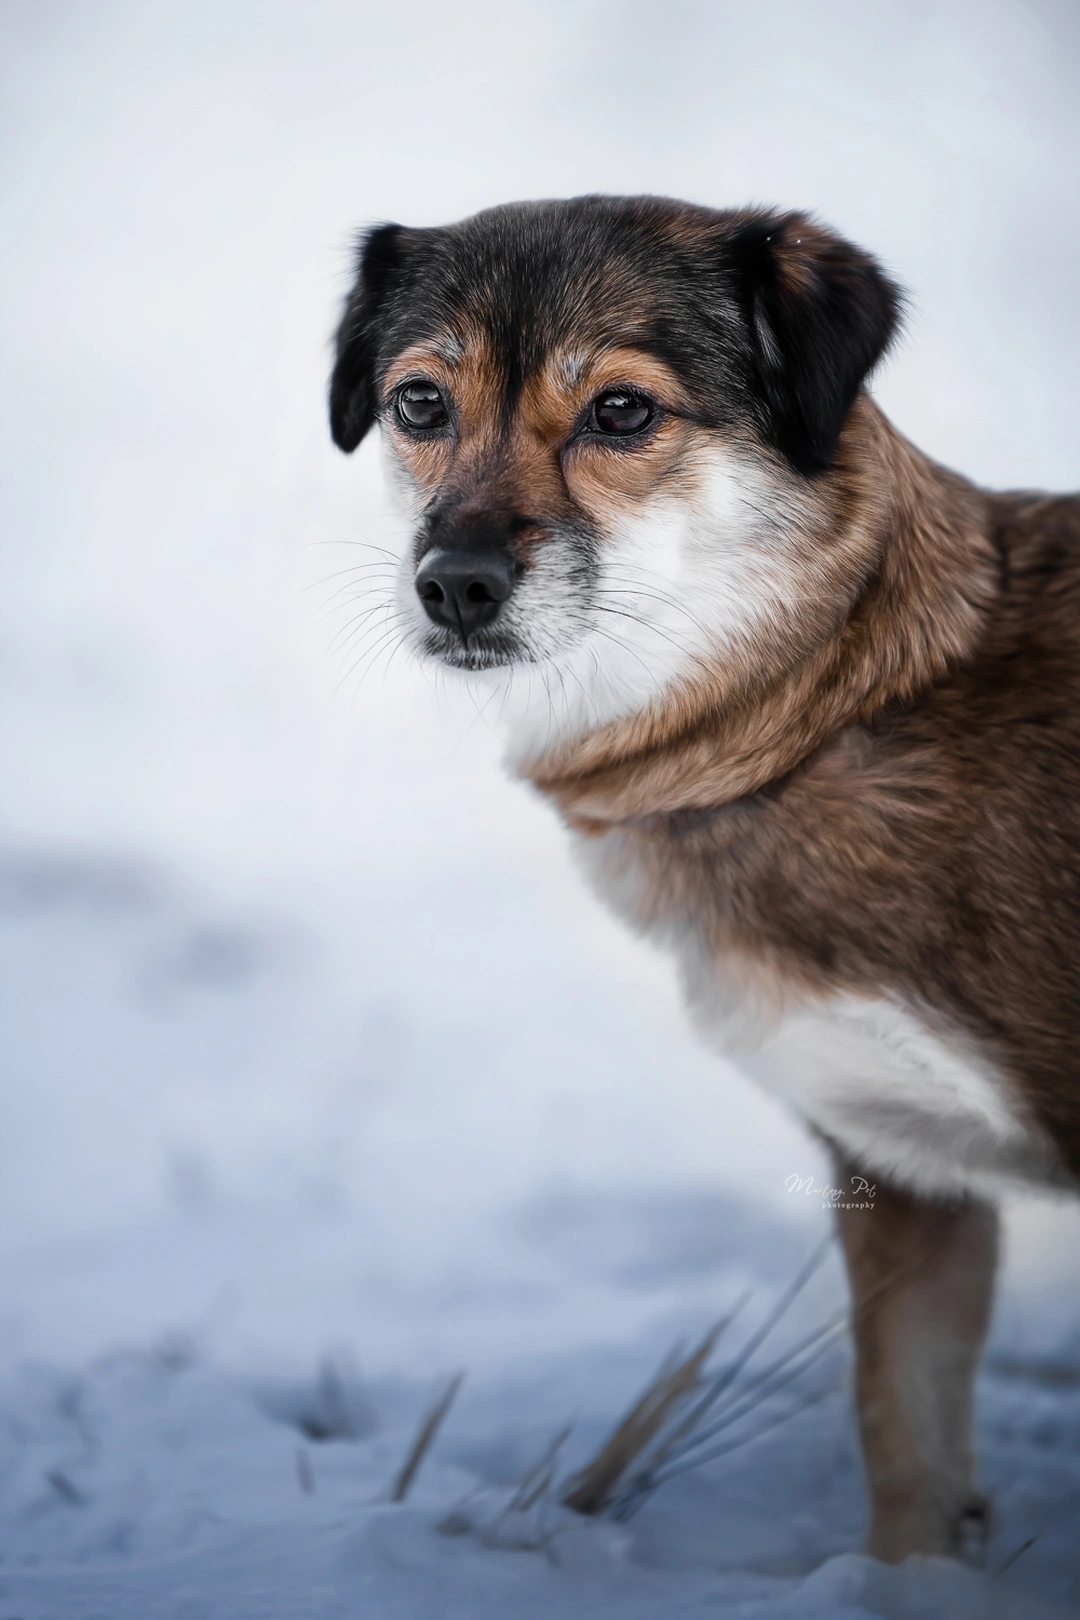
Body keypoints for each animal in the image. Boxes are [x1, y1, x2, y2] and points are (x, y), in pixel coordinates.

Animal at [327, 196, 1080, 1561]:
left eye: (623, 412)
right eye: (419, 403)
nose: (453, 587)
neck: (829, 713)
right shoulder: (906, 1181)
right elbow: (906, 1447)